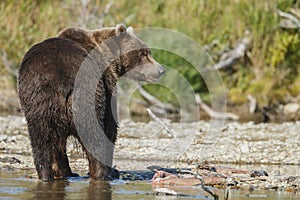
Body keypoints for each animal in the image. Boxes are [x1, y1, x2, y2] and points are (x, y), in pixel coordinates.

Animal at [17, 24, 165, 181]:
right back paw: (102, 173)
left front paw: (62, 170)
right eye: (143, 53)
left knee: (40, 140)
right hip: (87, 95)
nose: (161, 70)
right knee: (93, 136)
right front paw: (111, 169)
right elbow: (110, 124)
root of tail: (61, 80)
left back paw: (46, 174)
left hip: (38, 99)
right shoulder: (107, 80)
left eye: (148, 52)